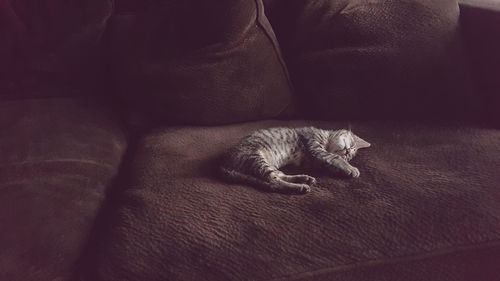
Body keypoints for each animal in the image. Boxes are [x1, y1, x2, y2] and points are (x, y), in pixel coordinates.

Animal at [221, 126, 370, 194]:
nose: (348, 151)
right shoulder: (314, 146)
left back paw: (304, 179)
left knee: (278, 176)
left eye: (349, 155)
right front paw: (351, 168)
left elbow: (330, 161)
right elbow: (334, 156)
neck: (326, 139)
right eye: (352, 144)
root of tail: (225, 165)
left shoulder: (315, 159)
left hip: (265, 164)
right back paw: (300, 187)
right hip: (256, 158)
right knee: (274, 183)